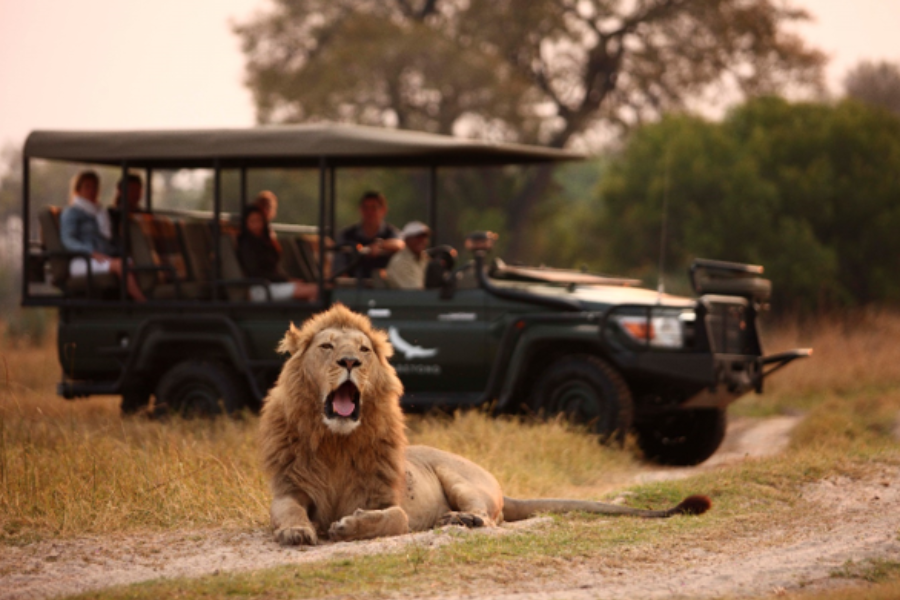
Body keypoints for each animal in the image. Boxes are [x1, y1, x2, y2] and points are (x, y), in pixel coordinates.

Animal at [260, 304, 712, 544]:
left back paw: (460, 520)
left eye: (364, 349)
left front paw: (349, 526)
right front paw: (298, 532)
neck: (337, 443)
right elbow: (288, 512)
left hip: (459, 478)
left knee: (489, 517)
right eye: (326, 346)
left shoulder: (385, 500)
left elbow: (395, 518)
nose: (350, 361)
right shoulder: (289, 490)